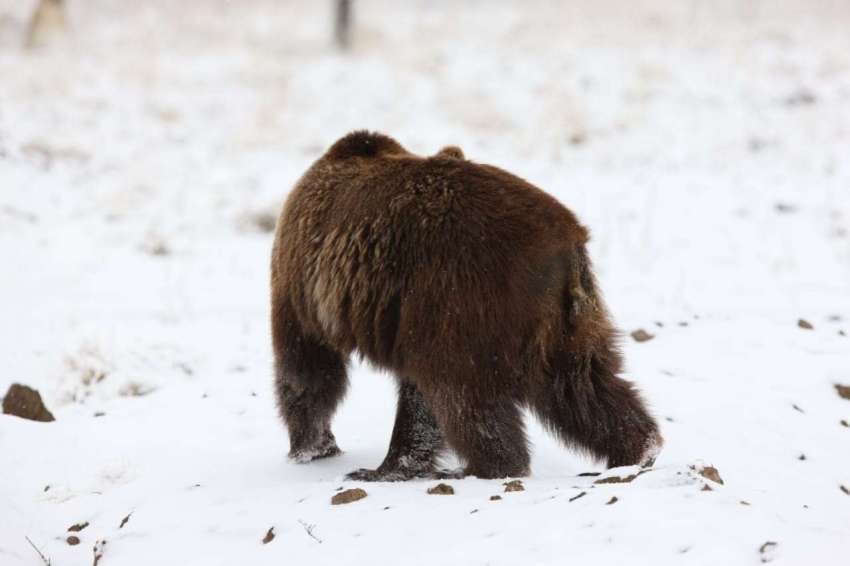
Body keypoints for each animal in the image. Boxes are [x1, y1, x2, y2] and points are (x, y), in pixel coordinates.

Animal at [268, 133, 660, 484]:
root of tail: (565, 246)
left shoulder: (299, 284)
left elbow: (307, 367)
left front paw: (312, 447)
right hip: (566, 320)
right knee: (584, 385)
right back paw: (639, 449)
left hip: (466, 297)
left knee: (463, 395)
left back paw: (479, 468)